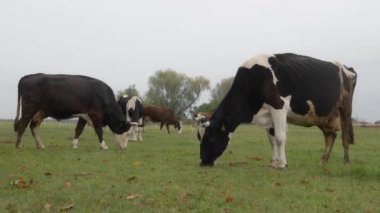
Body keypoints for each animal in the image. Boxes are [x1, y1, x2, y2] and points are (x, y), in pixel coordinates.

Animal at [200, 52, 358, 168]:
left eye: (209, 137)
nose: (202, 162)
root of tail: (346, 68)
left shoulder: (279, 106)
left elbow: (280, 138)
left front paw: (282, 164)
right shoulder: (268, 114)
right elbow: (272, 140)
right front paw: (273, 162)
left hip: (345, 107)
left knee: (344, 135)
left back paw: (346, 161)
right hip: (322, 115)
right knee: (331, 135)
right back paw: (323, 161)